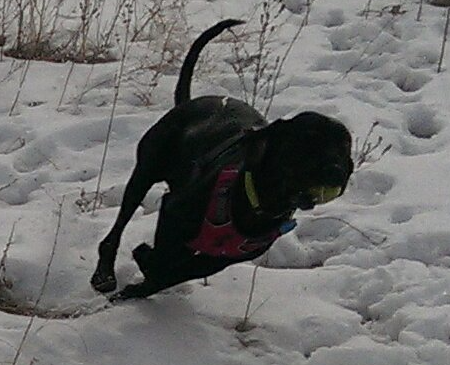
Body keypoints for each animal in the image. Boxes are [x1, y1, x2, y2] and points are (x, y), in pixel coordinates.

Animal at [90, 18, 352, 300]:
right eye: (307, 140)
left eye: (346, 149)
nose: (336, 170)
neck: (259, 203)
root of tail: (186, 103)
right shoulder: (173, 210)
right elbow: (164, 259)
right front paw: (144, 263)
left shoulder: (222, 258)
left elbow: (176, 271)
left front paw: (144, 278)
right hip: (145, 171)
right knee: (116, 231)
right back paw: (104, 275)